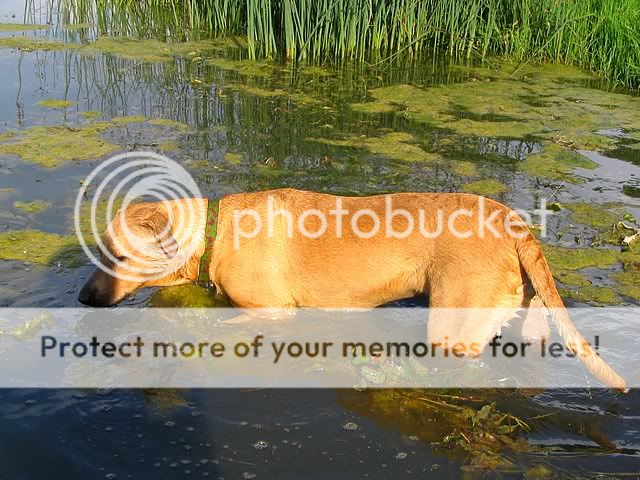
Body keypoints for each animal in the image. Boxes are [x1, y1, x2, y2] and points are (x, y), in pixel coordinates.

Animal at [78, 188, 627, 390]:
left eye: (117, 256)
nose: (82, 300)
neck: (215, 235)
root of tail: (512, 221)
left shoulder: (273, 313)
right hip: (528, 321)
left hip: (453, 328)